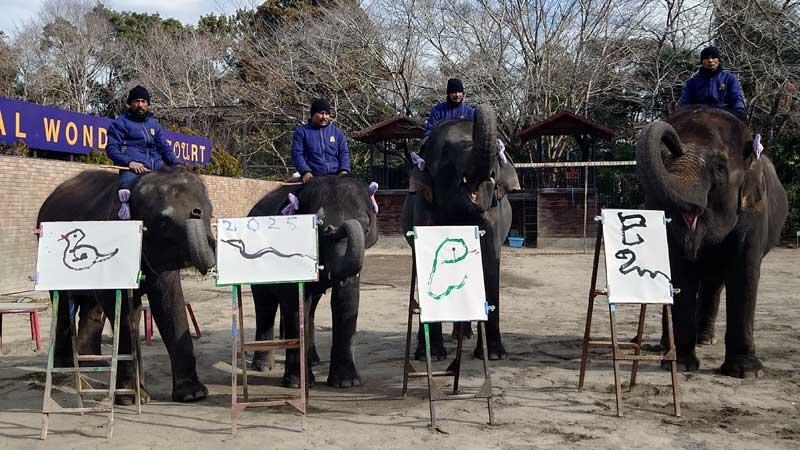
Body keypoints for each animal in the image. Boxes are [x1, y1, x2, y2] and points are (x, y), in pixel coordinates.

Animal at [37, 167, 216, 402]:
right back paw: (66, 370)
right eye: (164, 222)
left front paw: (192, 395)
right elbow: (121, 308)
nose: (196, 212)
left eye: (211, 212)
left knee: (92, 307)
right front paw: (131, 399)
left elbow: (170, 303)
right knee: (65, 308)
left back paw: (93, 362)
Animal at [248, 174, 376, 388]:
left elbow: (346, 300)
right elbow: (295, 304)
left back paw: (314, 359)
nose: (332, 228)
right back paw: (262, 366)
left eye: (366, 229)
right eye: (318, 225)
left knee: (311, 307)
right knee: (265, 303)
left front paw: (347, 383)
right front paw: (297, 384)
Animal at [400, 105, 520, 362]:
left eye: (498, 154)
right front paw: (434, 355)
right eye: (446, 151)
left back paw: (463, 336)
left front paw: (494, 355)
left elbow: (489, 263)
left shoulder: (492, 215)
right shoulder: (425, 209)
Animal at [636, 108, 788, 376]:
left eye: (719, 167)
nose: (673, 141)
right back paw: (668, 345)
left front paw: (746, 372)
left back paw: (705, 339)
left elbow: (744, 272)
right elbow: (680, 272)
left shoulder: (754, 213)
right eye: (665, 160)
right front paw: (680, 364)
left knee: (714, 282)